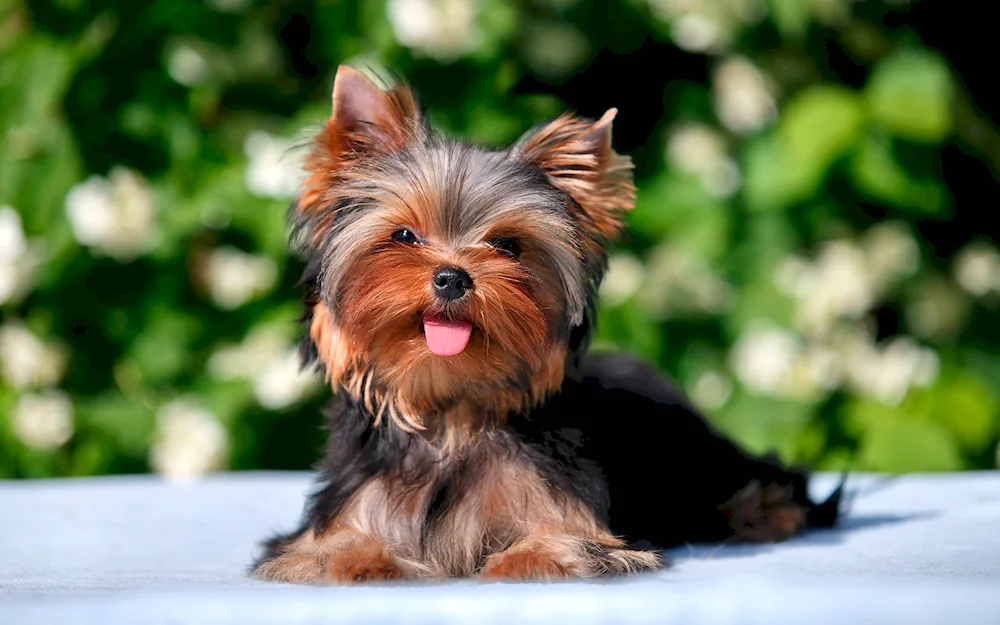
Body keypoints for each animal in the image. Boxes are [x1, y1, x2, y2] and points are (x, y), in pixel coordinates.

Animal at [248, 66, 836, 584]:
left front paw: (525, 559)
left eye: (509, 246)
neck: (450, 410)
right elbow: (327, 549)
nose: (452, 278)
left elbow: (565, 544)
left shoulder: (575, 516)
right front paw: (360, 561)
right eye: (404, 236)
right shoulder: (343, 510)